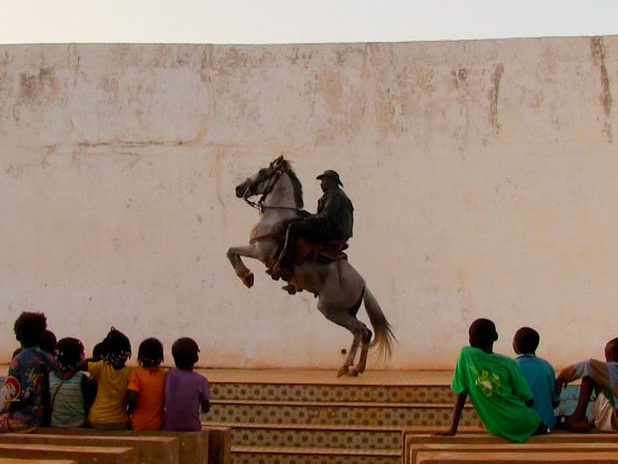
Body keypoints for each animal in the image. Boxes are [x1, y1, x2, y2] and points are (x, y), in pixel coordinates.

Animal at [226, 156, 394, 376]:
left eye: (263, 172)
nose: (239, 188)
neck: (275, 218)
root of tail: (363, 284)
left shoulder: (259, 251)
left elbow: (231, 251)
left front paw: (246, 276)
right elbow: (231, 251)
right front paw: (247, 276)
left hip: (331, 309)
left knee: (359, 330)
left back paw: (345, 366)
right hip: (344, 311)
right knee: (366, 332)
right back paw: (357, 368)